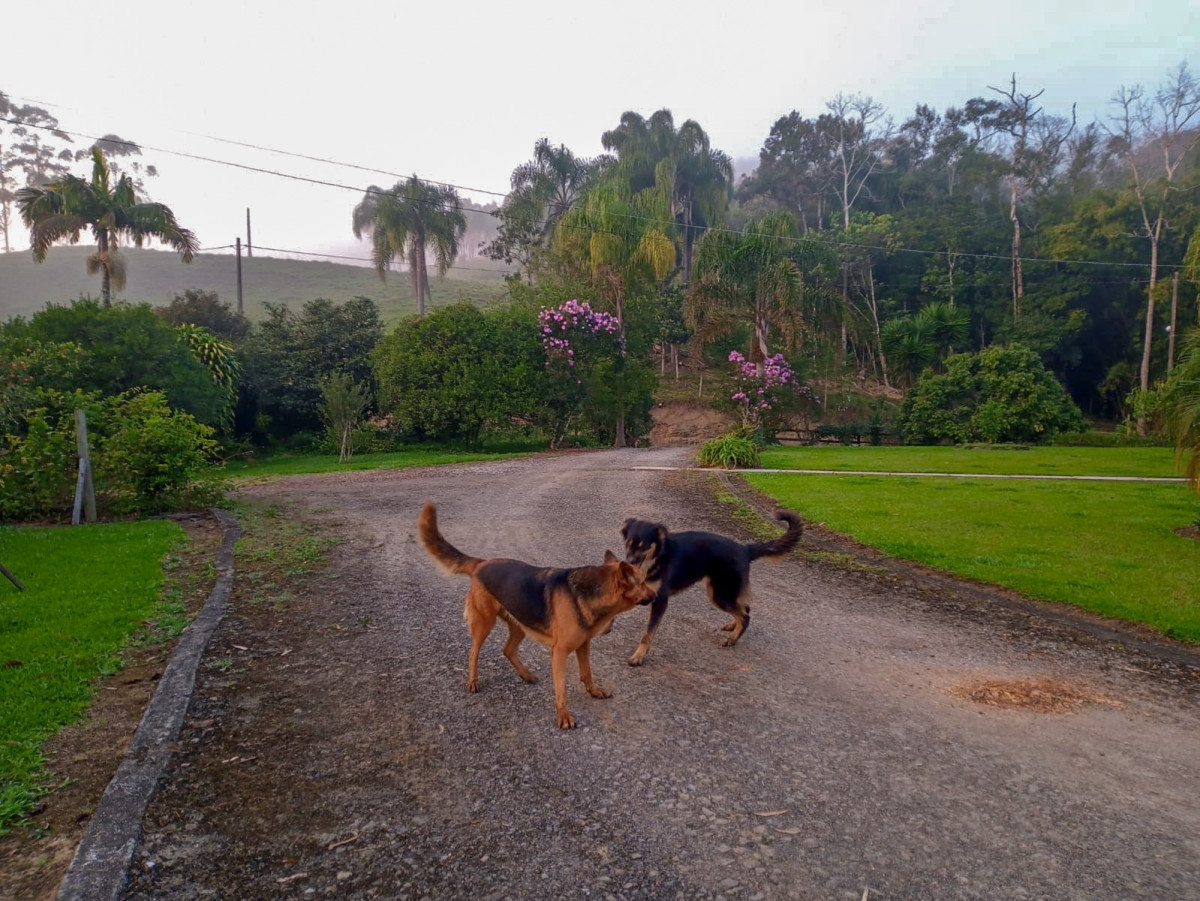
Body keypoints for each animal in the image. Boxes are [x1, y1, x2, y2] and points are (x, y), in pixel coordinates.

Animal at [420, 503, 657, 729]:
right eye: (643, 581)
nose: (656, 595)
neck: (591, 590)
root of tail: (481, 563)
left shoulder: (583, 645)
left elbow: (586, 673)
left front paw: (594, 691)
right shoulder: (559, 653)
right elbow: (561, 688)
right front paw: (564, 716)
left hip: (519, 626)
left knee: (507, 650)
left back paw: (526, 674)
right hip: (484, 624)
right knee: (473, 653)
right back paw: (473, 681)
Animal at [624, 511, 801, 667]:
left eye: (643, 546)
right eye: (628, 544)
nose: (629, 562)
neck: (657, 557)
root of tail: (745, 549)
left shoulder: (660, 601)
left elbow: (648, 634)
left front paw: (638, 657)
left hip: (719, 593)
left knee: (745, 616)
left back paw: (732, 639)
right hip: (725, 591)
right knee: (745, 608)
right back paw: (733, 627)